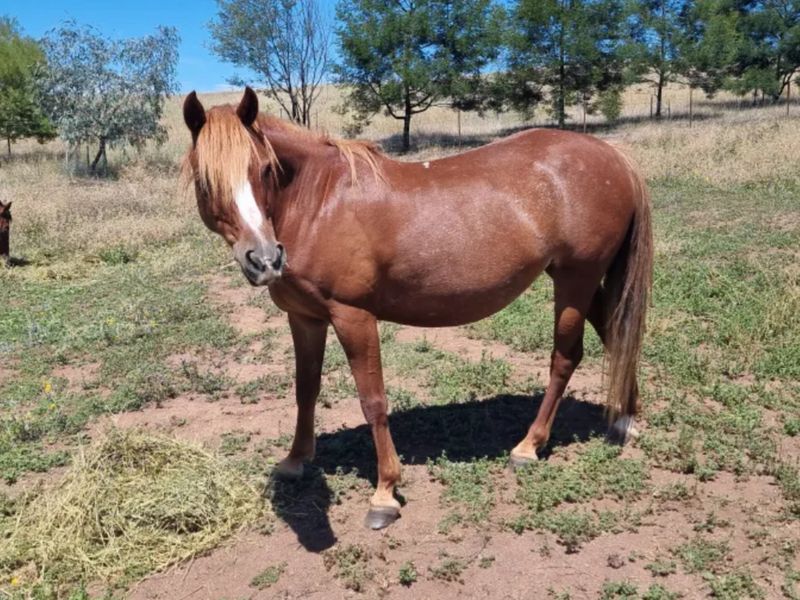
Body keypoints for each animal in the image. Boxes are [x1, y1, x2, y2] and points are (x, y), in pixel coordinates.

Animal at [181, 88, 653, 530]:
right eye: (206, 180)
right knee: (617, 336)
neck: (317, 203)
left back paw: (529, 445)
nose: (265, 260)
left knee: (566, 357)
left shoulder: (353, 316)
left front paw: (385, 493)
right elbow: (305, 389)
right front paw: (295, 461)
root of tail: (613, 156)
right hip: (580, 281)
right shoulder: (305, 318)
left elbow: (373, 400)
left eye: (264, 169)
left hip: (575, 281)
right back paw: (624, 419)